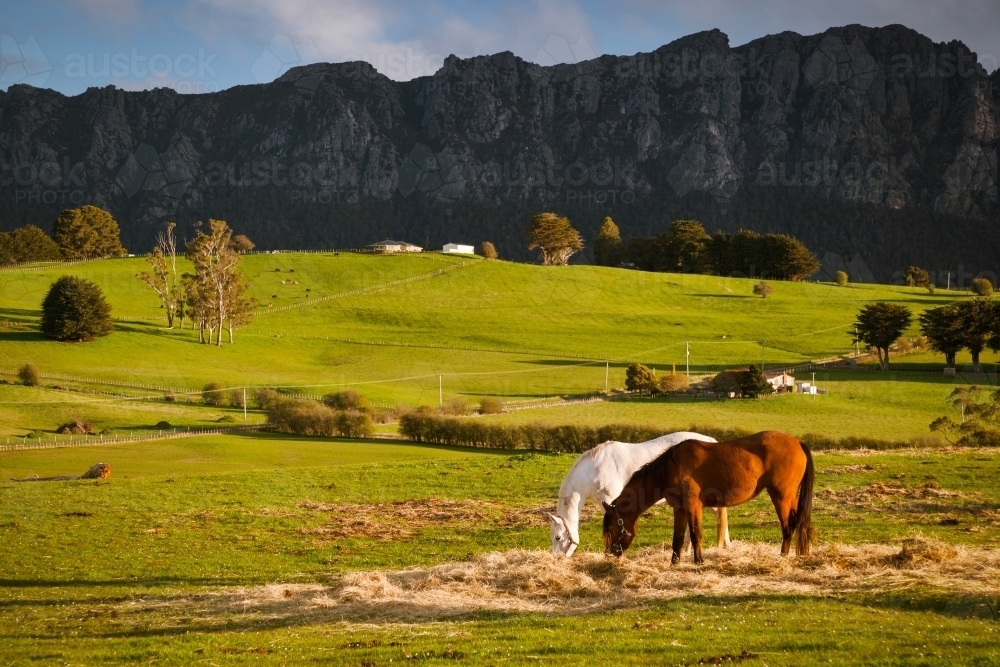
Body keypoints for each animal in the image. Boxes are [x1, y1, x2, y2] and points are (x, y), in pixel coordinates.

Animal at [549, 432, 731, 556]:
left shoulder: (611, 502)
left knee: (720, 516)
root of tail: (711, 442)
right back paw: (688, 550)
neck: (593, 470)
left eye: (558, 537)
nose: (557, 558)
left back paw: (724, 547)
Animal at [602, 431, 814, 563]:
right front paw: (674, 564)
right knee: (799, 522)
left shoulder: (693, 506)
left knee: (788, 526)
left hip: (780, 496)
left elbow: (696, 534)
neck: (672, 468)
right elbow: (678, 538)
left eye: (611, 527)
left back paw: (783, 556)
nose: (610, 553)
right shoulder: (679, 509)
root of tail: (797, 442)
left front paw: (699, 562)